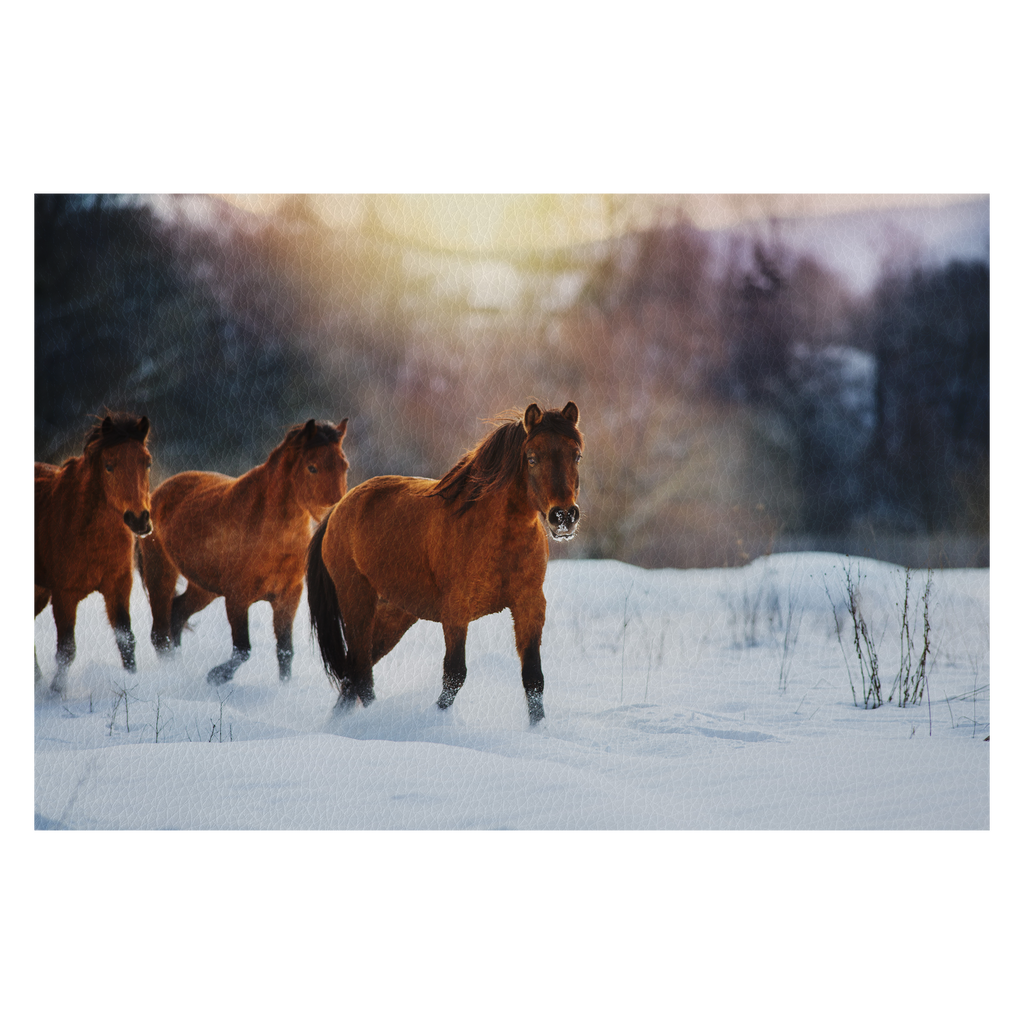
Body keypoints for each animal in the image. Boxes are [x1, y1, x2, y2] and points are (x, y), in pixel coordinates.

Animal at [32, 411, 152, 692]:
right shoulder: (64, 595)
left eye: (147, 463)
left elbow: (126, 641)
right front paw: (56, 693)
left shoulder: (118, 586)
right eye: (109, 465)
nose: (139, 519)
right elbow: (66, 650)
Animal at [140, 415, 350, 688]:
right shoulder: (237, 598)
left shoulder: (288, 597)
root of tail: (159, 493)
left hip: (204, 588)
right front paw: (216, 676)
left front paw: (284, 688)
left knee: (176, 616)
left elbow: (285, 651)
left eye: (344, 466)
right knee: (160, 634)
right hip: (161, 574)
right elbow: (243, 649)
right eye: (312, 467)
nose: (334, 514)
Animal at [305, 401, 585, 729]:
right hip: (357, 601)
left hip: (395, 613)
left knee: (355, 674)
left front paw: (537, 729)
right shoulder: (456, 611)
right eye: (532, 457)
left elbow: (533, 678)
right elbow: (454, 676)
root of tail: (339, 508)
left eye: (576, 455)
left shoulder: (529, 605)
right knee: (360, 672)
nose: (563, 516)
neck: (497, 535)